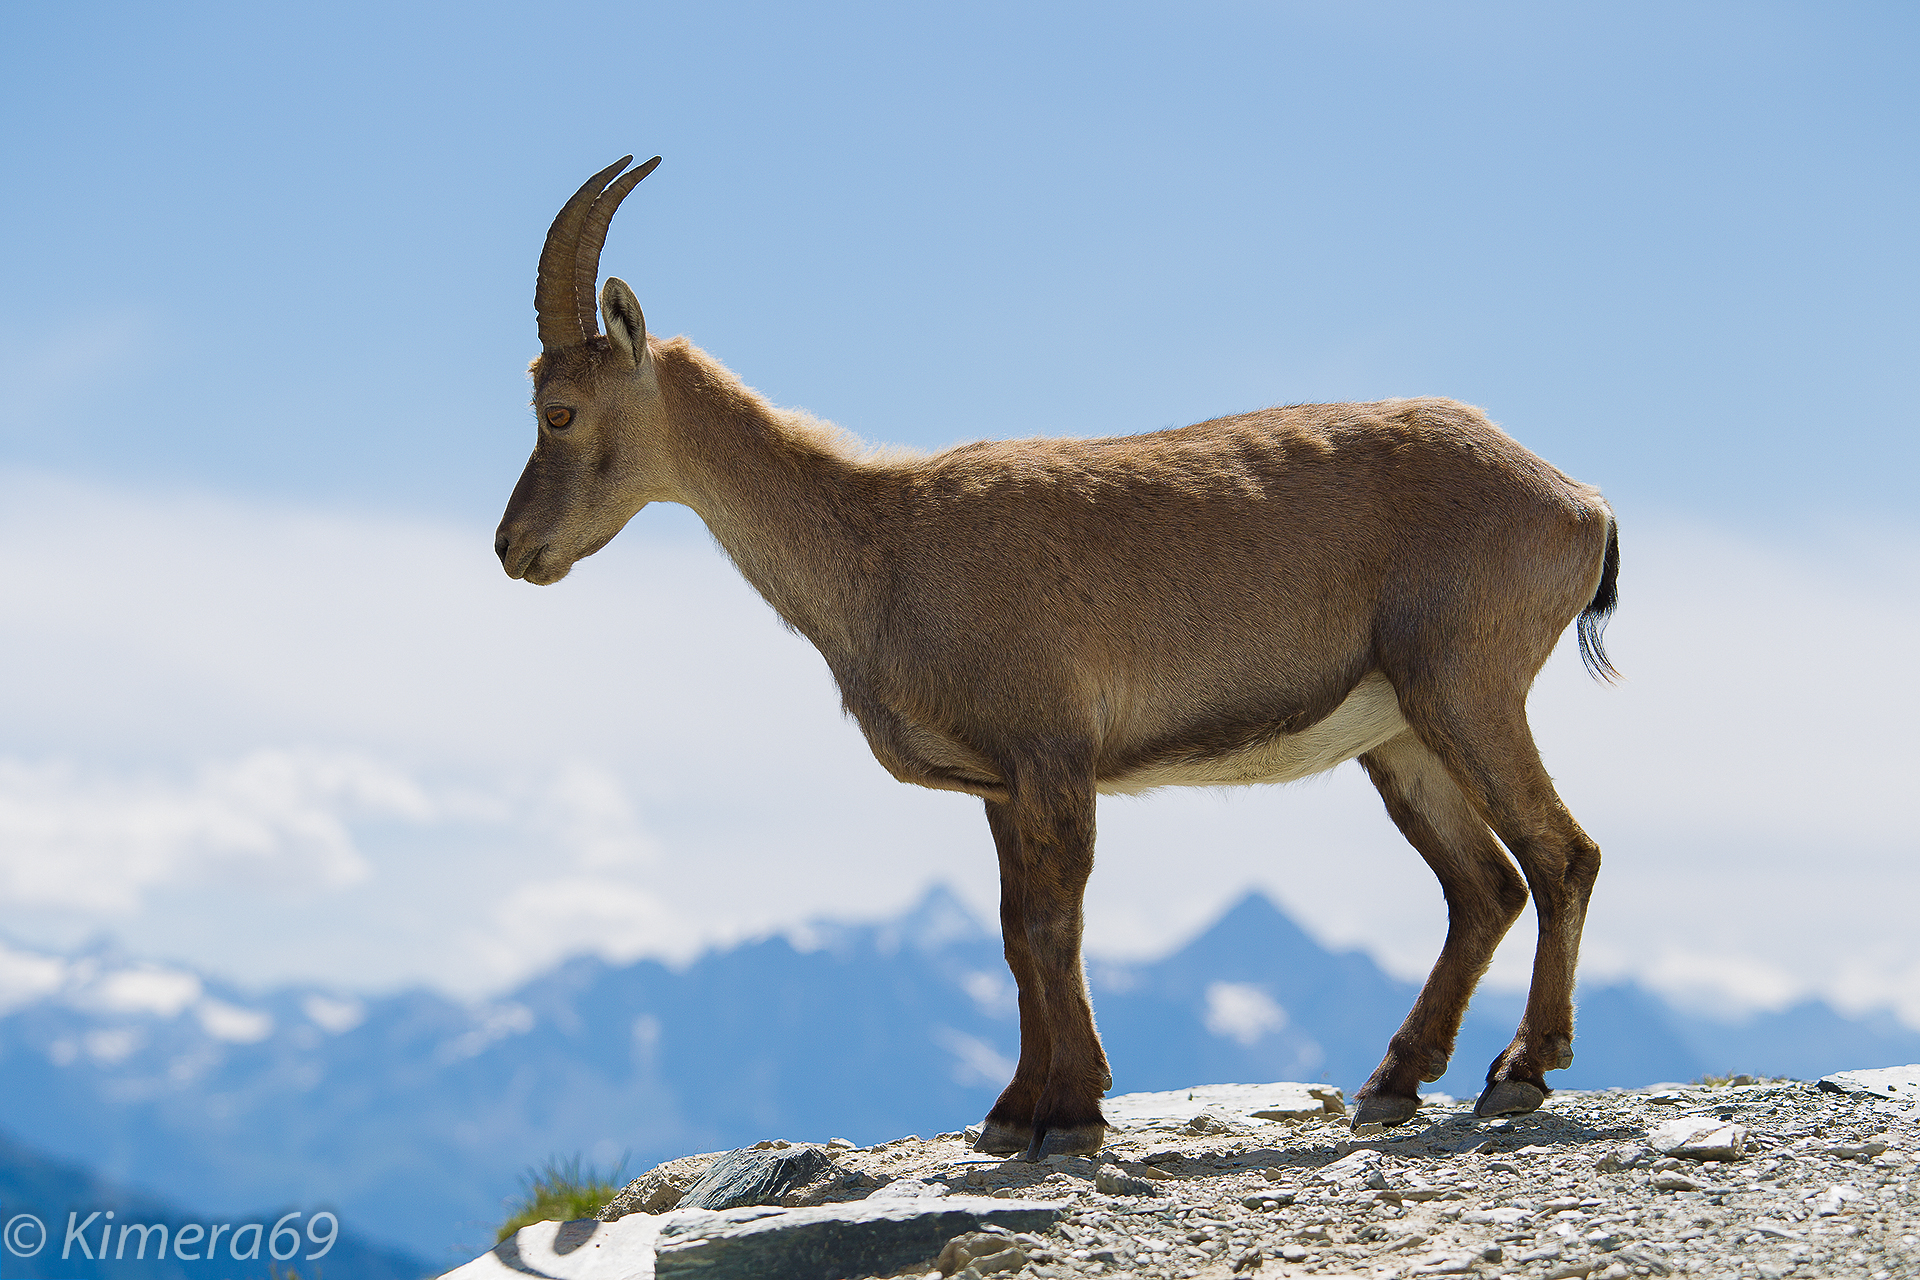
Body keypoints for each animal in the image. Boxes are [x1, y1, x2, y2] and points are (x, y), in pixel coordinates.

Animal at [496, 157, 1621, 1159]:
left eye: (560, 412)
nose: (512, 549)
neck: (885, 544)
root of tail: (1579, 502)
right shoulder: (999, 782)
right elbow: (1010, 933)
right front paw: (1014, 1110)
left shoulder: (1052, 751)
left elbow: (1054, 924)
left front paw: (1071, 1111)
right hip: (1398, 732)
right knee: (1484, 885)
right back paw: (1395, 1080)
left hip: (1466, 683)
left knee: (1560, 852)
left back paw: (1521, 1071)